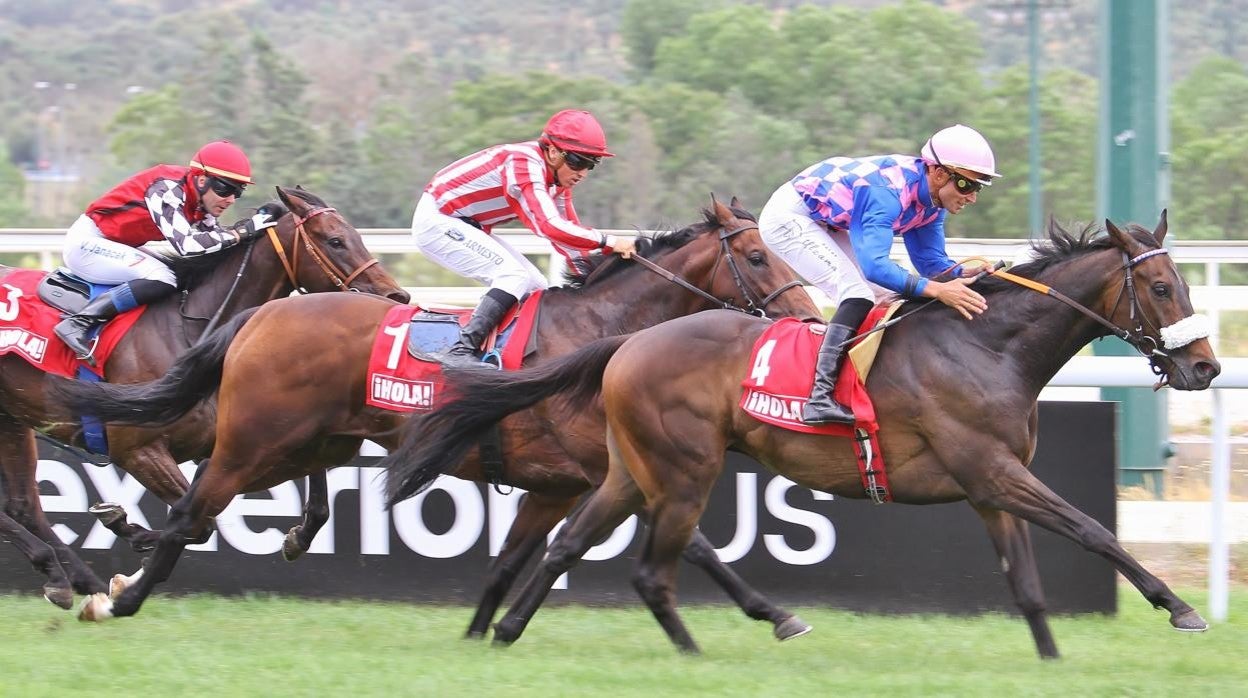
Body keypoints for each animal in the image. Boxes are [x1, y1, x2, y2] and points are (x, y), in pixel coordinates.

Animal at [1, 188, 409, 609]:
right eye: (335, 240)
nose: (396, 295)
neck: (188, 329)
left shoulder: (244, 438)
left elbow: (312, 497)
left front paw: (296, 536)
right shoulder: (138, 451)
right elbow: (200, 522)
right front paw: (129, 534)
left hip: (12, 420)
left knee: (23, 505)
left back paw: (71, 578)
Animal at [51, 197, 818, 634]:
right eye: (757, 255)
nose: (808, 318)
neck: (601, 332)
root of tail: (260, 315)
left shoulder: (560, 482)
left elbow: (515, 559)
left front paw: (486, 631)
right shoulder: (616, 465)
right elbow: (695, 541)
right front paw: (776, 614)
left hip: (306, 443)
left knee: (252, 507)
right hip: (250, 443)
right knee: (190, 512)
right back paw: (116, 597)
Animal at [379, 214, 1218, 659]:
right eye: (1162, 286)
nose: (1207, 365)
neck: (988, 347)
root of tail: (627, 344)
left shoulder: (990, 486)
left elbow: (1028, 582)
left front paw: (1049, 657)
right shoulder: (994, 471)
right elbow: (1092, 530)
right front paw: (1179, 607)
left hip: (625, 470)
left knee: (569, 544)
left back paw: (505, 631)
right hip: (682, 471)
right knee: (653, 568)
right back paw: (711, 644)